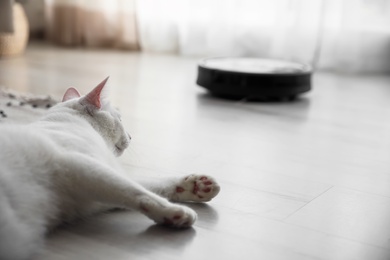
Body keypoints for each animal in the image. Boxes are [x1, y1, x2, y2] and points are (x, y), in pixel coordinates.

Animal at [0, 77, 219, 260]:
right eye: (120, 119)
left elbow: (150, 185)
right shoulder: (81, 165)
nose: (131, 136)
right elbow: (137, 192)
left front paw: (195, 186)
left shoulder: (96, 188)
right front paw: (174, 212)